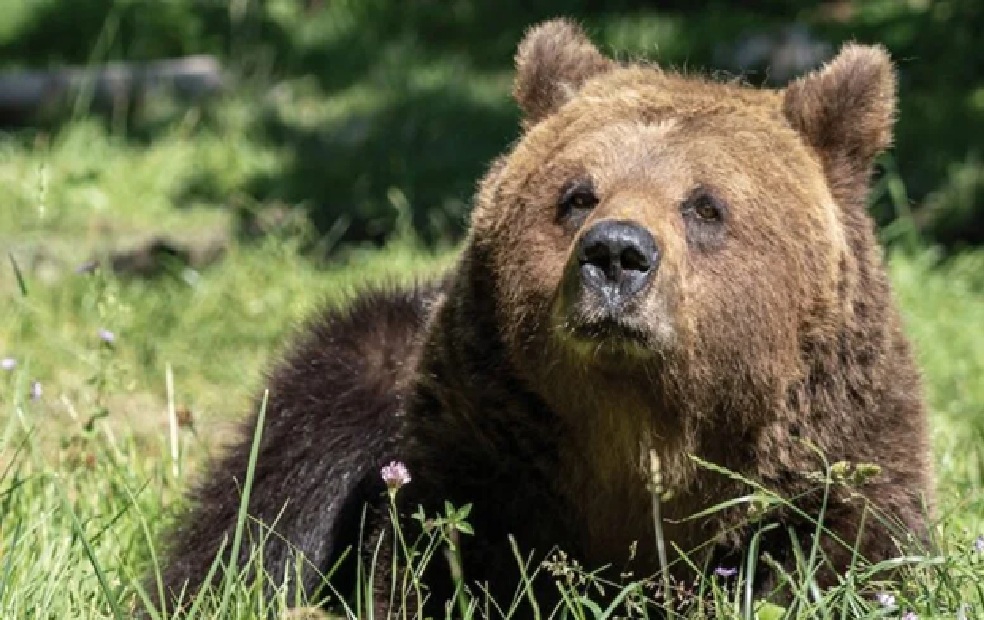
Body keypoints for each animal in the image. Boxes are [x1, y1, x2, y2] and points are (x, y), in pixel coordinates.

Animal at [148, 18, 933, 617]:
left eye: (706, 205)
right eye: (578, 194)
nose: (616, 253)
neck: (640, 436)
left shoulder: (833, 471)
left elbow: (846, 560)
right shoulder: (477, 465)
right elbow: (434, 569)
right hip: (354, 371)